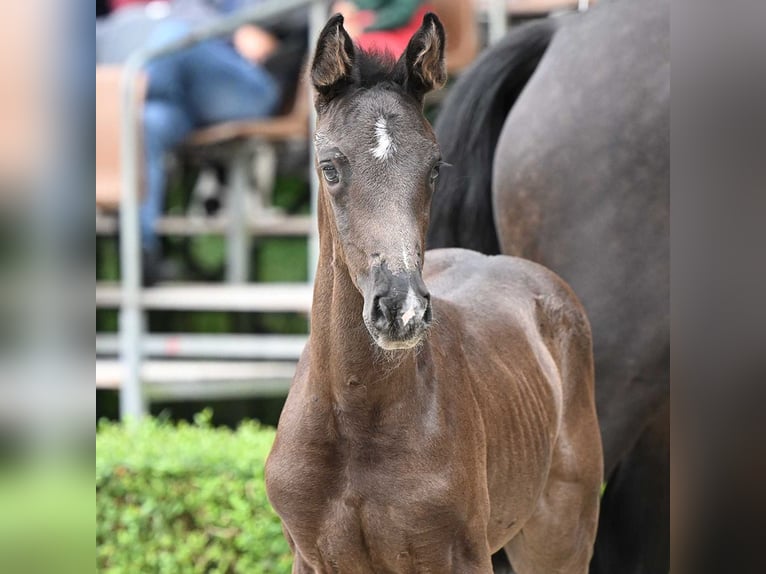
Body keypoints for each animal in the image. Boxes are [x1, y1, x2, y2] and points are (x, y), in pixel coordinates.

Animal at [268, 14, 604, 574]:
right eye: (331, 167)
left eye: (433, 167)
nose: (399, 308)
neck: (354, 418)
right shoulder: (310, 557)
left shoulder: (459, 555)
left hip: (559, 533)